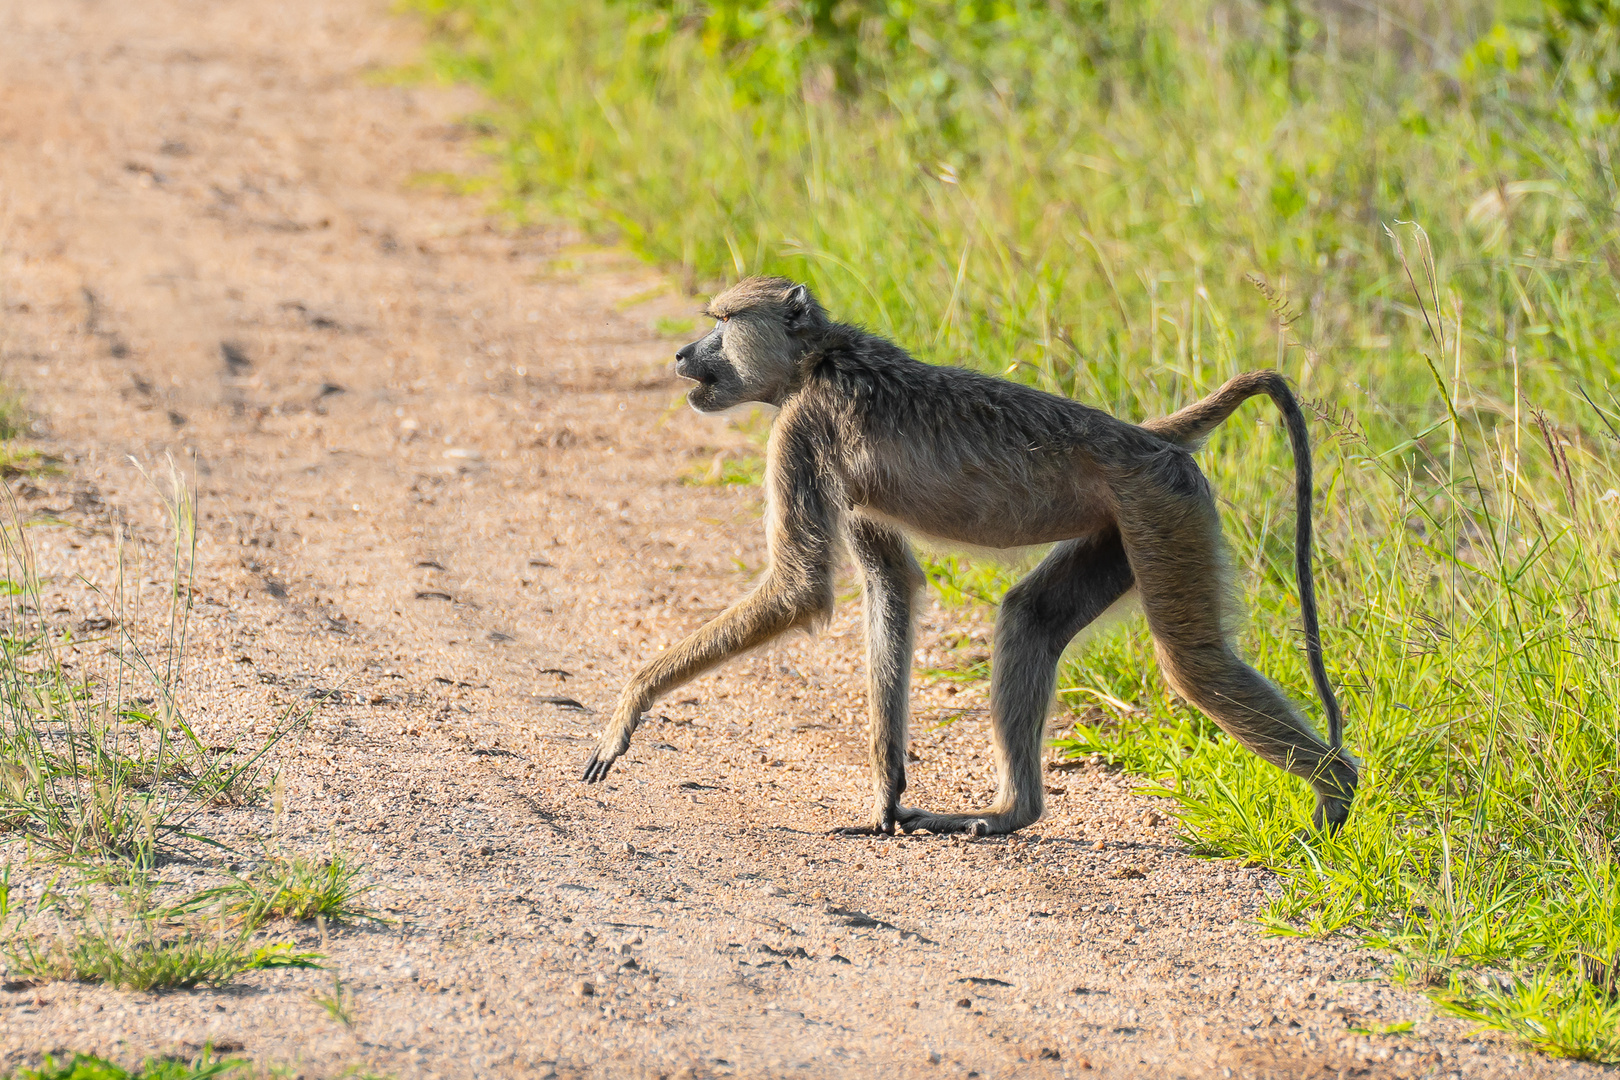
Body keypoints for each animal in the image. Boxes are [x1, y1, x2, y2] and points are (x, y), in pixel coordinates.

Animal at [583, 276, 1354, 835]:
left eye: (722, 322)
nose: (683, 354)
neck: (817, 360)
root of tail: (1149, 436)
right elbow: (892, 584)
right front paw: (885, 796)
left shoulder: (800, 432)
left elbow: (799, 589)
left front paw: (631, 703)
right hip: (1132, 524)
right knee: (1030, 618)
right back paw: (1008, 814)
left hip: (1165, 506)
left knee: (1193, 664)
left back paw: (1336, 795)